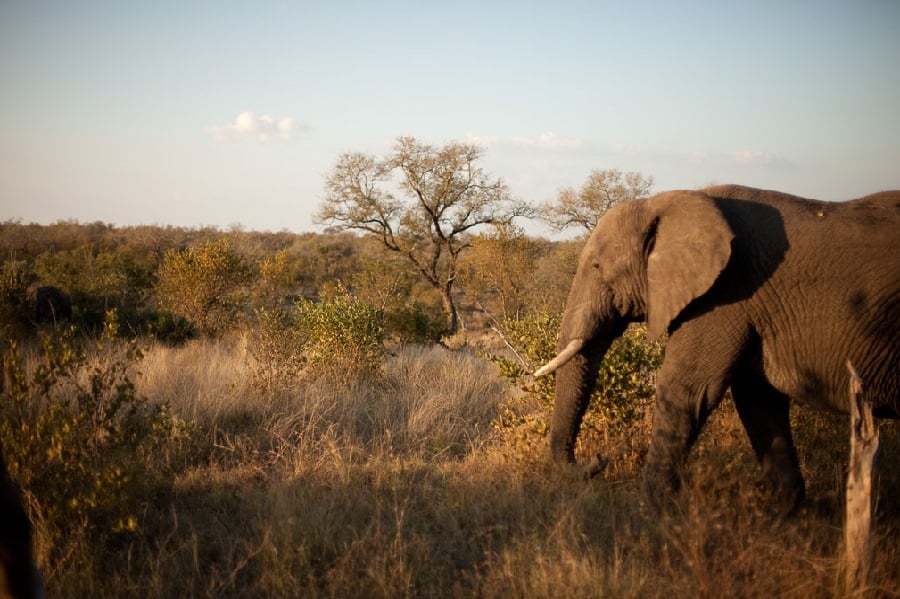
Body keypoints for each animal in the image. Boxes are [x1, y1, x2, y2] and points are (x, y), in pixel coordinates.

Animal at [536, 184, 900, 516]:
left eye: (597, 267)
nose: (599, 460)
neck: (667, 202)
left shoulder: (724, 295)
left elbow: (685, 391)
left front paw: (657, 517)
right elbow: (758, 400)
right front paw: (781, 522)